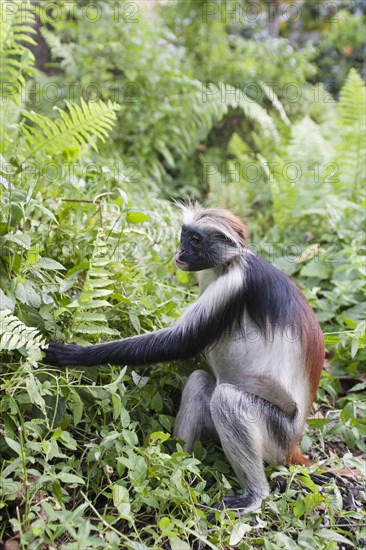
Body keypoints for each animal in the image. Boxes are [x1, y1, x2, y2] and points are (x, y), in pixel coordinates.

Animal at [44, 205, 324, 516]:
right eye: (184, 236)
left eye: (196, 241)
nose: (180, 251)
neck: (231, 262)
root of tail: (294, 445)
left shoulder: (233, 286)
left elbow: (182, 343)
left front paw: (75, 354)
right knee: (200, 382)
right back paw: (173, 462)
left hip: (277, 434)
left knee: (227, 400)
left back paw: (254, 495)